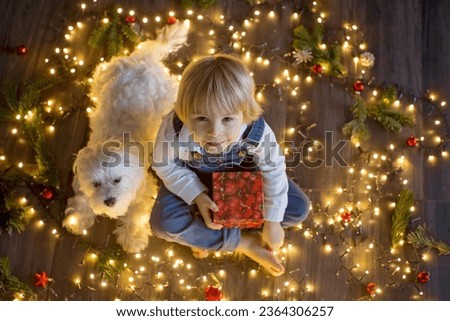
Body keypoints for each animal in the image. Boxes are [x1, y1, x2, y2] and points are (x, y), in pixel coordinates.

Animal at [63, 20, 190, 252]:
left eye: (117, 179)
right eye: (96, 184)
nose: (109, 201)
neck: (113, 139)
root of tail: (145, 57)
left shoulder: (143, 189)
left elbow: (136, 215)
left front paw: (132, 237)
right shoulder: (82, 183)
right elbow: (83, 199)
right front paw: (78, 218)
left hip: (168, 97)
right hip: (102, 76)